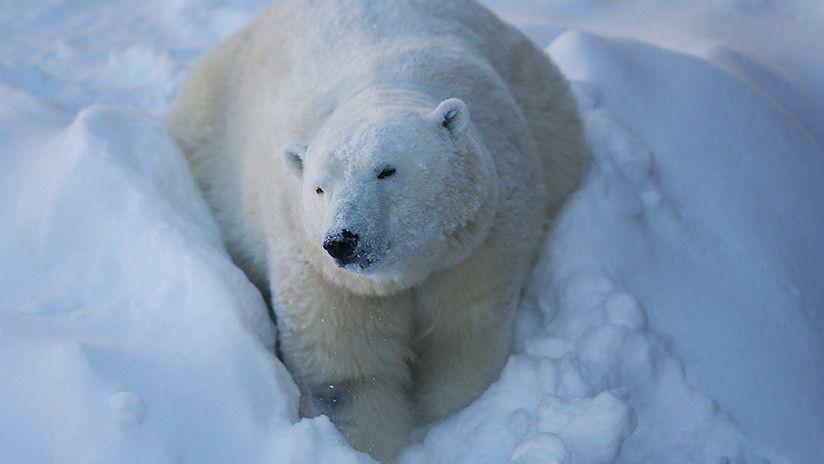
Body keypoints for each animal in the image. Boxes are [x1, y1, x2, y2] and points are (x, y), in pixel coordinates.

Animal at [169, 0, 584, 460]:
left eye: (386, 170)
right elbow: (348, 373)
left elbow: (463, 334)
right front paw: (367, 444)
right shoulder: (324, 275)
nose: (342, 241)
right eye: (319, 187)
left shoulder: (476, 242)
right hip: (208, 133)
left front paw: (442, 416)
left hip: (543, 101)